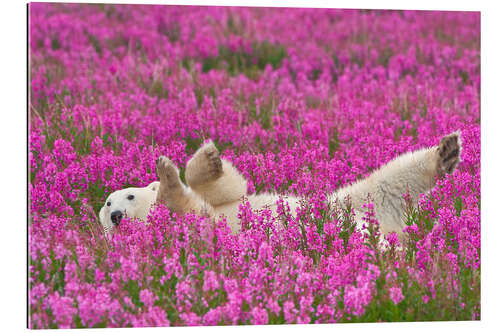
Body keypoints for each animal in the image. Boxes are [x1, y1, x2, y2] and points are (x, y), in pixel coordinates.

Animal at [99, 131, 462, 237]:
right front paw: (168, 178)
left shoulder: (223, 202)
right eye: (107, 206)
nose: (115, 216)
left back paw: (446, 152)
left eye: (126, 196)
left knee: (392, 178)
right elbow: (188, 209)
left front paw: (206, 158)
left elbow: (230, 189)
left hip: (352, 200)